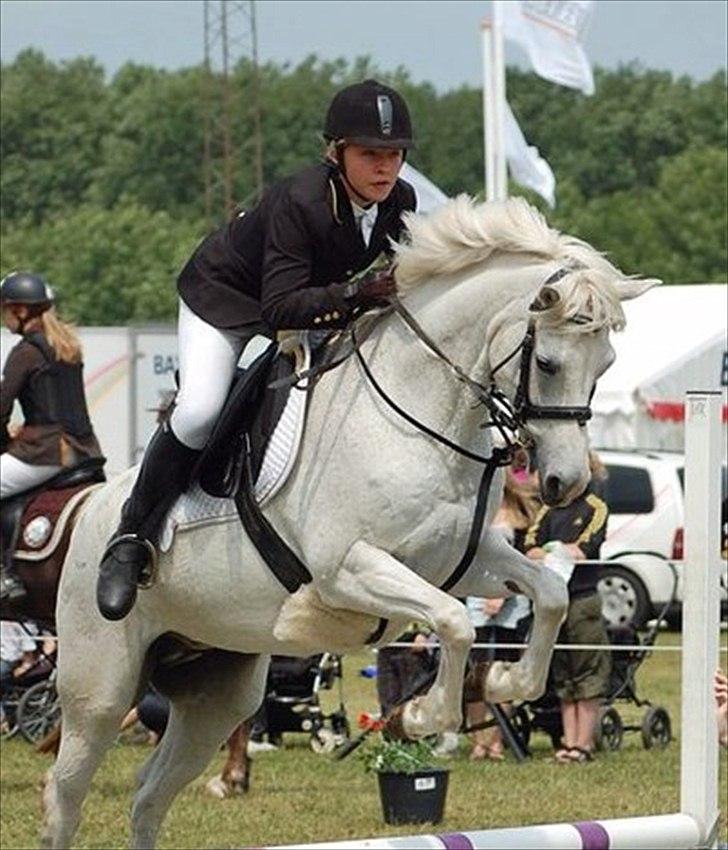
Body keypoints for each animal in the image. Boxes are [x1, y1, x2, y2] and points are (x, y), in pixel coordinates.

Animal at [43, 196, 657, 849]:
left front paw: (501, 685)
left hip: (218, 690)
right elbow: (453, 623)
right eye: (546, 361)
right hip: (100, 688)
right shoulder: (349, 570)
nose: (567, 483)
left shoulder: (464, 561)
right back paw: (120, 568)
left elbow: (549, 595)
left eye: (606, 363)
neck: (421, 413)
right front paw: (419, 715)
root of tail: (89, 506)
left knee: (150, 794)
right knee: (65, 792)